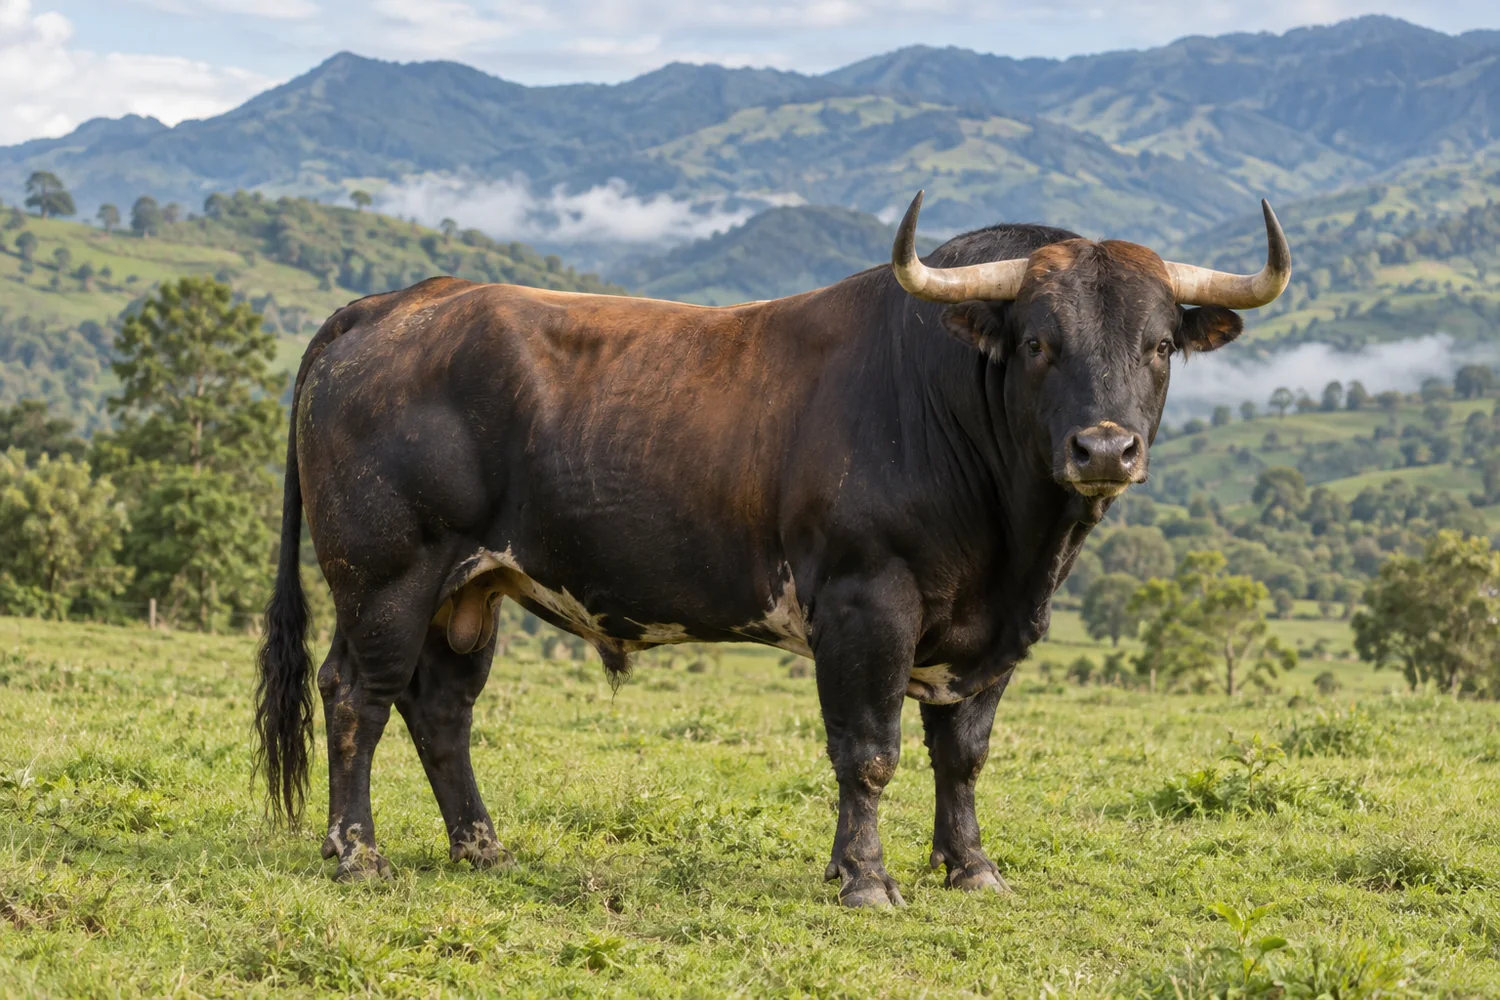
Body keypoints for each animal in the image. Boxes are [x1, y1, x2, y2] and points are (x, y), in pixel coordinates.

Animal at [255, 191, 1289, 906]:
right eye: (1039, 341)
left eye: (1159, 345)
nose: (1106, 449)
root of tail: (394, 304)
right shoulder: (868, 605)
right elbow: (867, 752)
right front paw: (865, 879)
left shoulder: (989, 637)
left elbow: (962, 754)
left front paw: (972, 870)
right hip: (387, 576)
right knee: (356, 696)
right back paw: (357, 855)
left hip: (471, 587)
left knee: (440, 709)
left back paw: (481, 847)